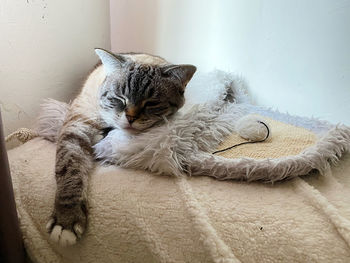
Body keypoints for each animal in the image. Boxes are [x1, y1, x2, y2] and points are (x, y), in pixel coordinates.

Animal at [45, 48, 196, 248]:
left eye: (152, 103)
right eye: (119, 98)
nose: (130, 118)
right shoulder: (76, 128)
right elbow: (69, 169)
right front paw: (66, 220)